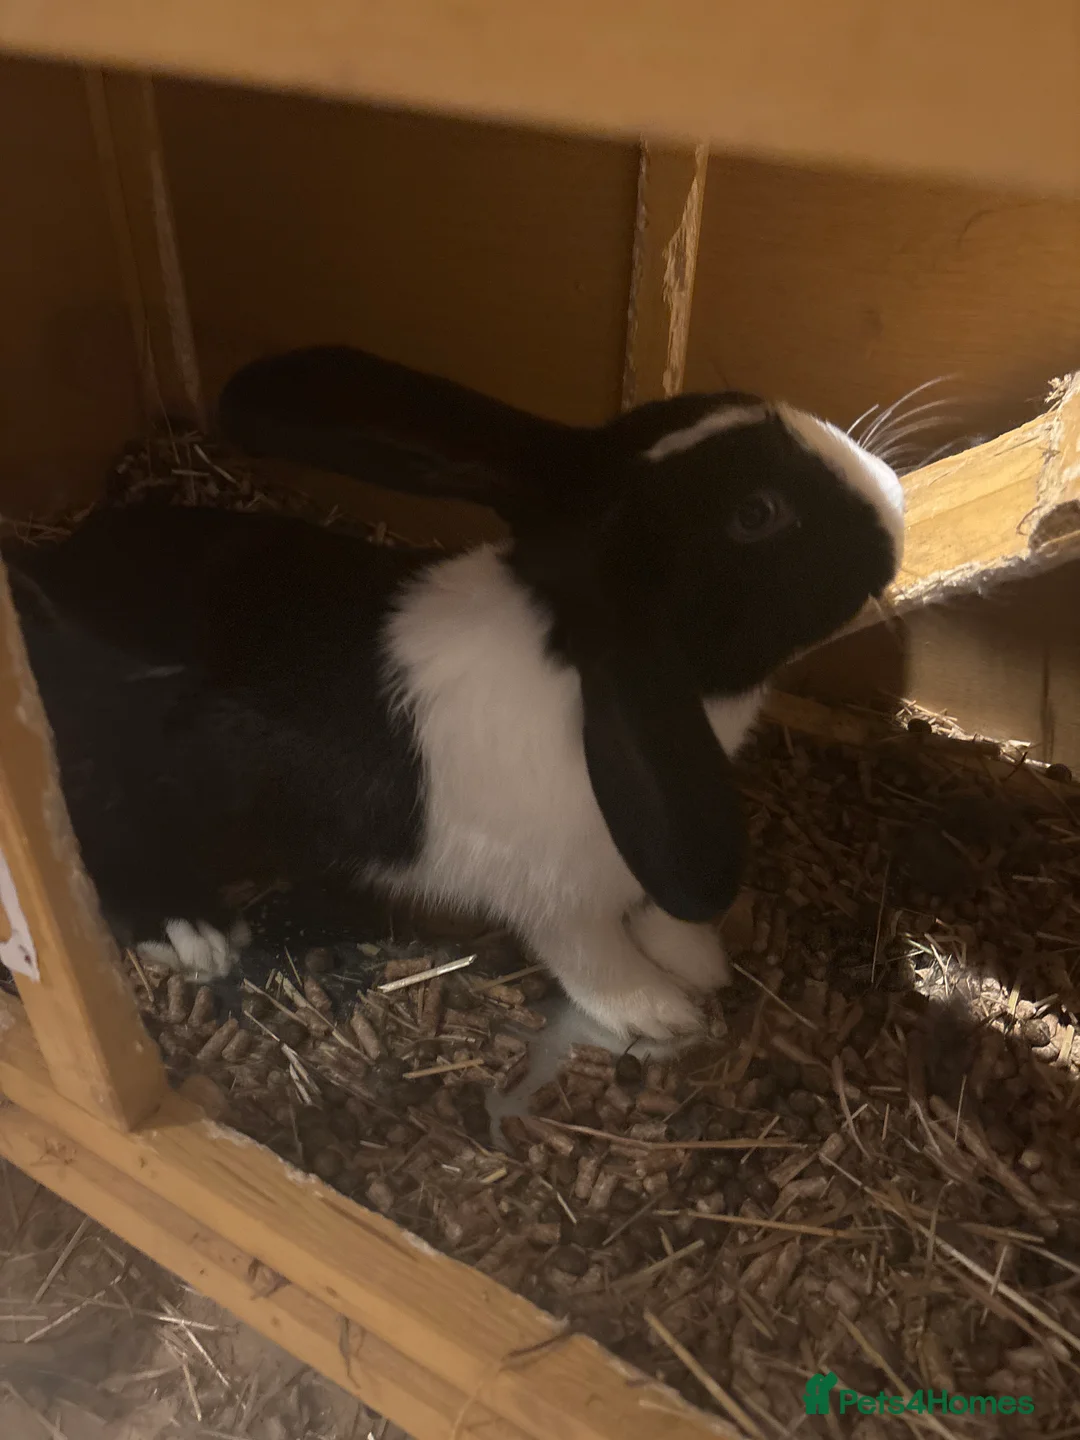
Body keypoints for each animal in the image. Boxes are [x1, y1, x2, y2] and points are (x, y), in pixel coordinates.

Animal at [6, 389, 903, 1040]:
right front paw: (662, 1012)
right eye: (757, 515)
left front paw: (696, 958)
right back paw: (195, 931)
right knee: (100, 857)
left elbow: (652, 909)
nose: (894, 504)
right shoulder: (561, 899)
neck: (570, 655)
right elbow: (595, 960)